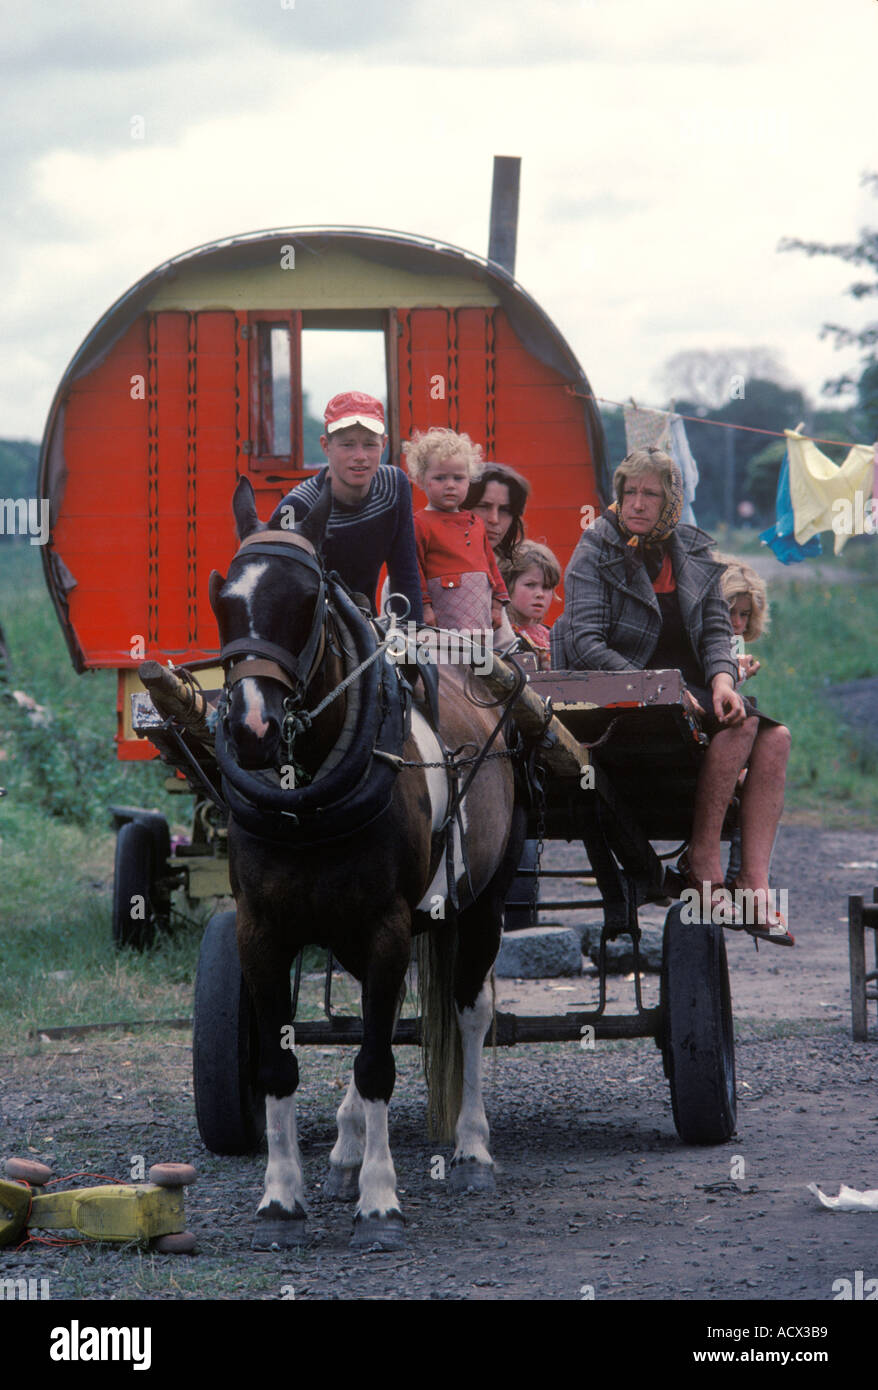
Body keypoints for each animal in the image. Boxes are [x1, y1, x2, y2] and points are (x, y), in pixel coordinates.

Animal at [211, 478, 527, 1251]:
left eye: (307, 600)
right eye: (223, 599)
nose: (252, 728)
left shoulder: (386, 925)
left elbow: (379, 1060)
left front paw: (381, 1201)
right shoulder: (262, 931)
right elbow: (282, 1063)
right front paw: (281, 1196)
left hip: (481, 904)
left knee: (469, 1011)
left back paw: (471, 1149)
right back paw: (347, 1148)